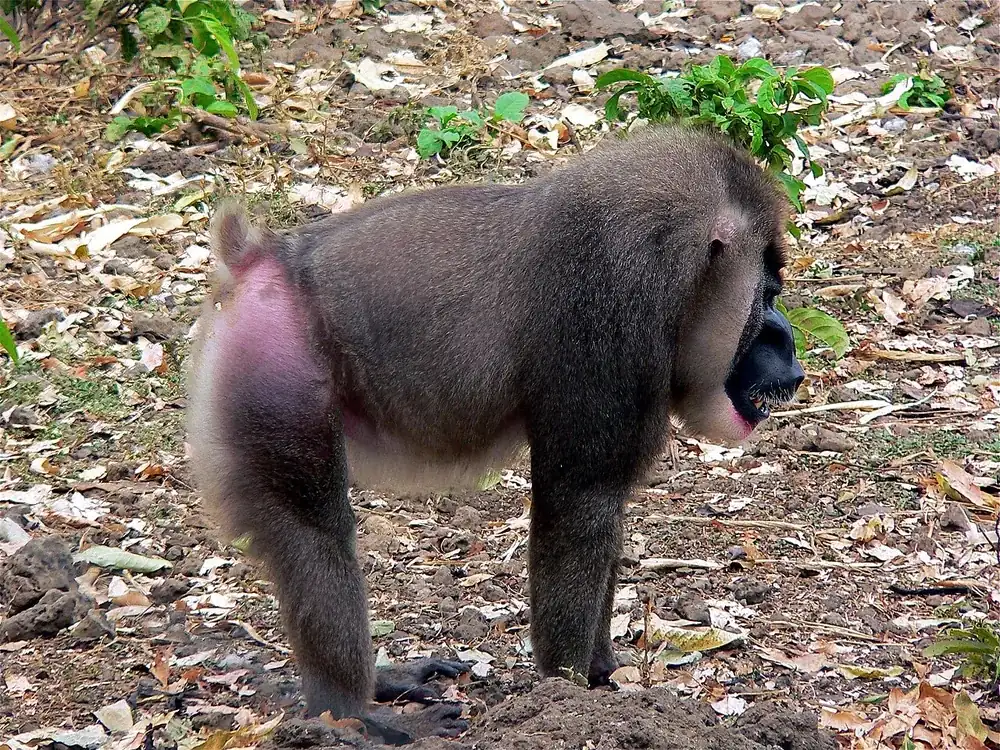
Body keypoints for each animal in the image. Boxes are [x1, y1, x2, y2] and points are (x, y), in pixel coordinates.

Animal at [185, 123, 805, 744]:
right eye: (769, 294)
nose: (791, 354)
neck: (675, 269)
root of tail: (261, 260)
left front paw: (601, 673)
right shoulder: (609, 326)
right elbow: (579, 506)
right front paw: (566, 694)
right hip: (278, 375)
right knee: (313, 535)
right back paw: (352, 710)